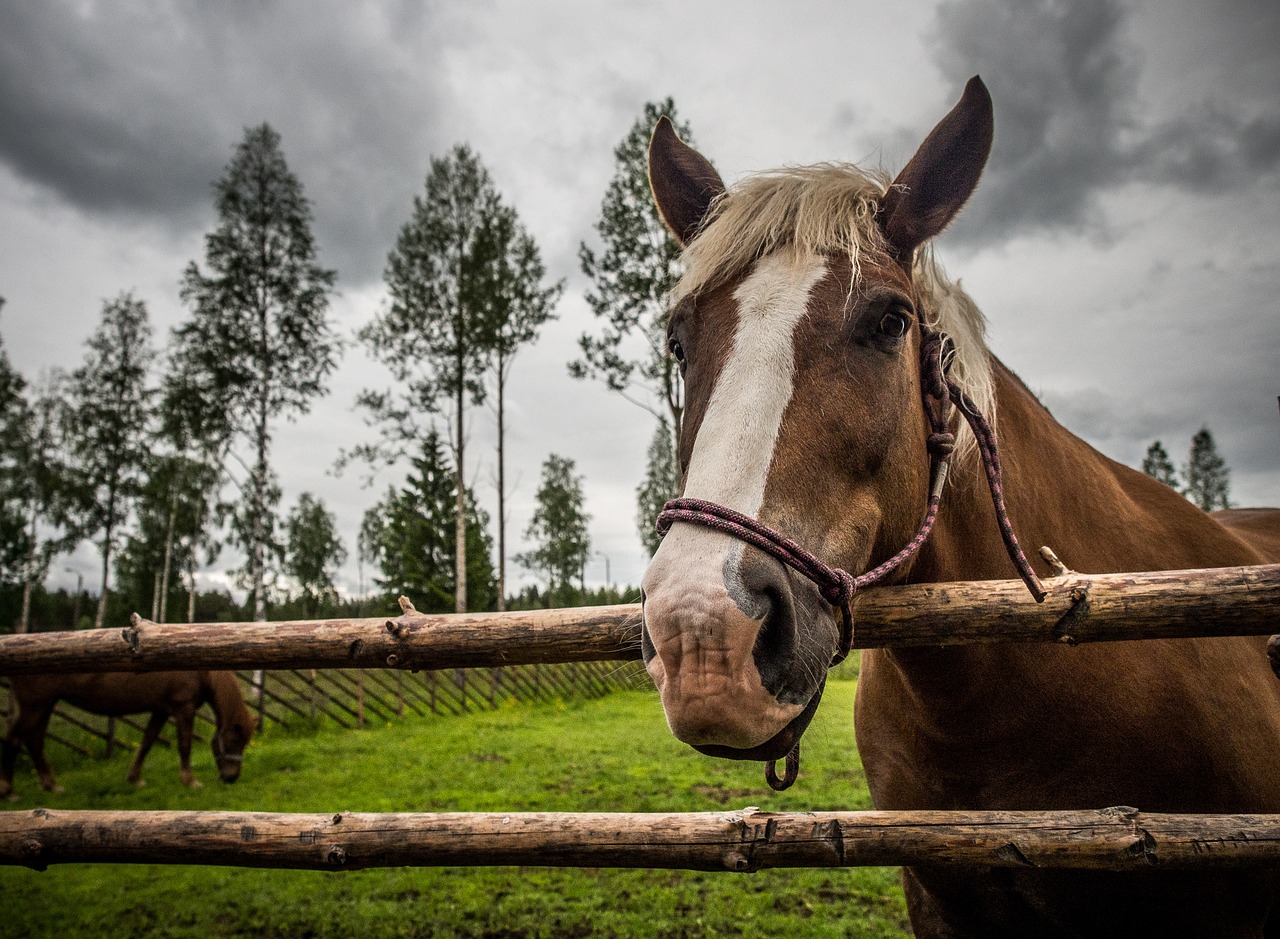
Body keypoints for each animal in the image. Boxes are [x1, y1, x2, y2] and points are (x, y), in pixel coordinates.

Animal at [1, 675, 257, 798]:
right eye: (235, 741)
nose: (231, 777)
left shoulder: (161, 710)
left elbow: (147, 742)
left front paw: (135, 778)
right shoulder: (183, 707)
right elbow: (184, 745)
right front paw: (190, 781)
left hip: (46, 704)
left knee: (34, 741)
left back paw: (52, 785)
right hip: (35, 705)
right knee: (14, 741)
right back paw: (9, 791)